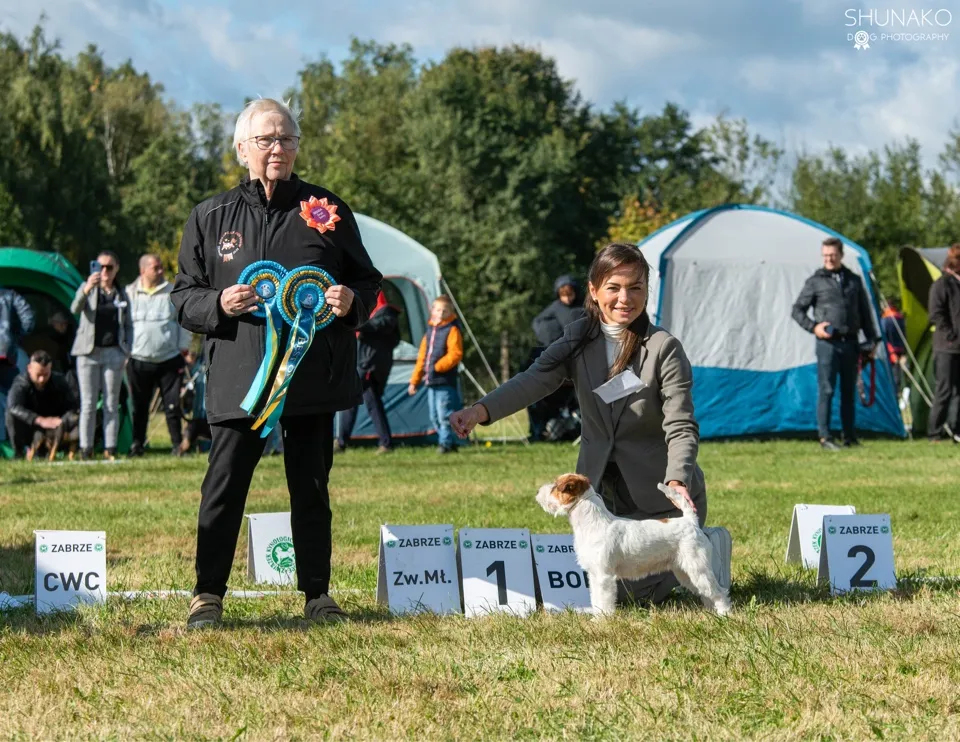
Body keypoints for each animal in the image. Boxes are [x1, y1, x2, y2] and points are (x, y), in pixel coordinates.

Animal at [536, 474, 732, 620]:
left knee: (719, 591)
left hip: (697, 567)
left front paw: (603, 620)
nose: (538, 491)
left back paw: (724, 614)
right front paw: (596, 617)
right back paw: (711, 612)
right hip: (685, 572)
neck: (594, 522)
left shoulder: (604, 576)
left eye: (556, 487)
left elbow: (604, 599)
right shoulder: (594, 575)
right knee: (707, 592)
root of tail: (690, 521)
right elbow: (596, 598)